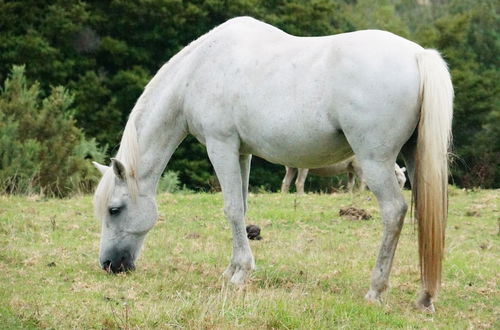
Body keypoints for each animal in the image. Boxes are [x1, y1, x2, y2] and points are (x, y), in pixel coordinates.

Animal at [91, 17, 454, 312]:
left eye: (114, 209)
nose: (108, 264)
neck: (199, 70)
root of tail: (418, 55)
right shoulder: (242, 153)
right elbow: (242, 206)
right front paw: (232, 268)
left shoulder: (221, 147)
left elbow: (231, 209)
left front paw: (240, 274)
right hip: (414, 158)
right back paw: (425, 297)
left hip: (375, 163)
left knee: (394, 211)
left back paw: (375, 290)